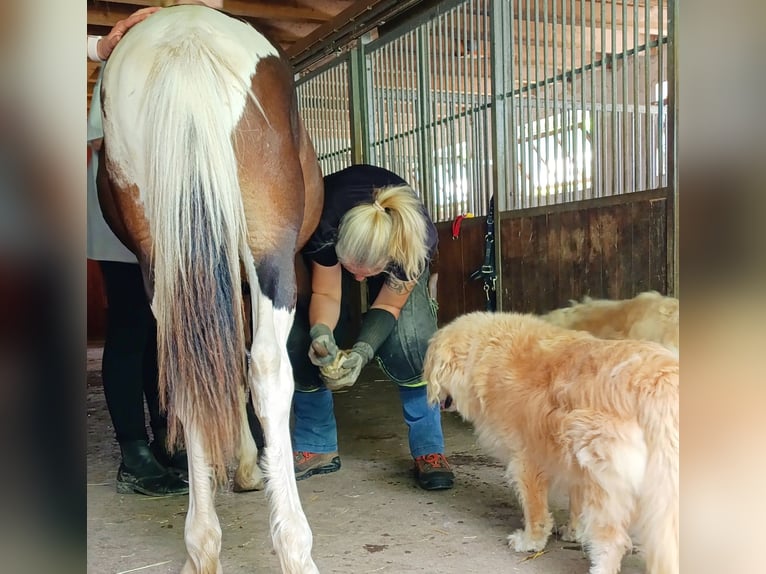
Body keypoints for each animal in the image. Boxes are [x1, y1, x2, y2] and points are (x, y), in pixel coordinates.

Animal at [97, 4, 324, 574]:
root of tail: (186, 37)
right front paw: (248, 465)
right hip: (269, 249)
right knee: (267, 369)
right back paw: (295, 546)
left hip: (164, 259)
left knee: (189, 373)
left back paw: (202, 545)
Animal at [426, 316, 684, 574]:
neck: (482, 354)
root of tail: (660, 380)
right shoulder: (577, 467)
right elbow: (576, 506)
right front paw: (574, 532)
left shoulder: (527, 461)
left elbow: (535, 511)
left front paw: (530, 541)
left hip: (608, 489)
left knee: (612, 540)